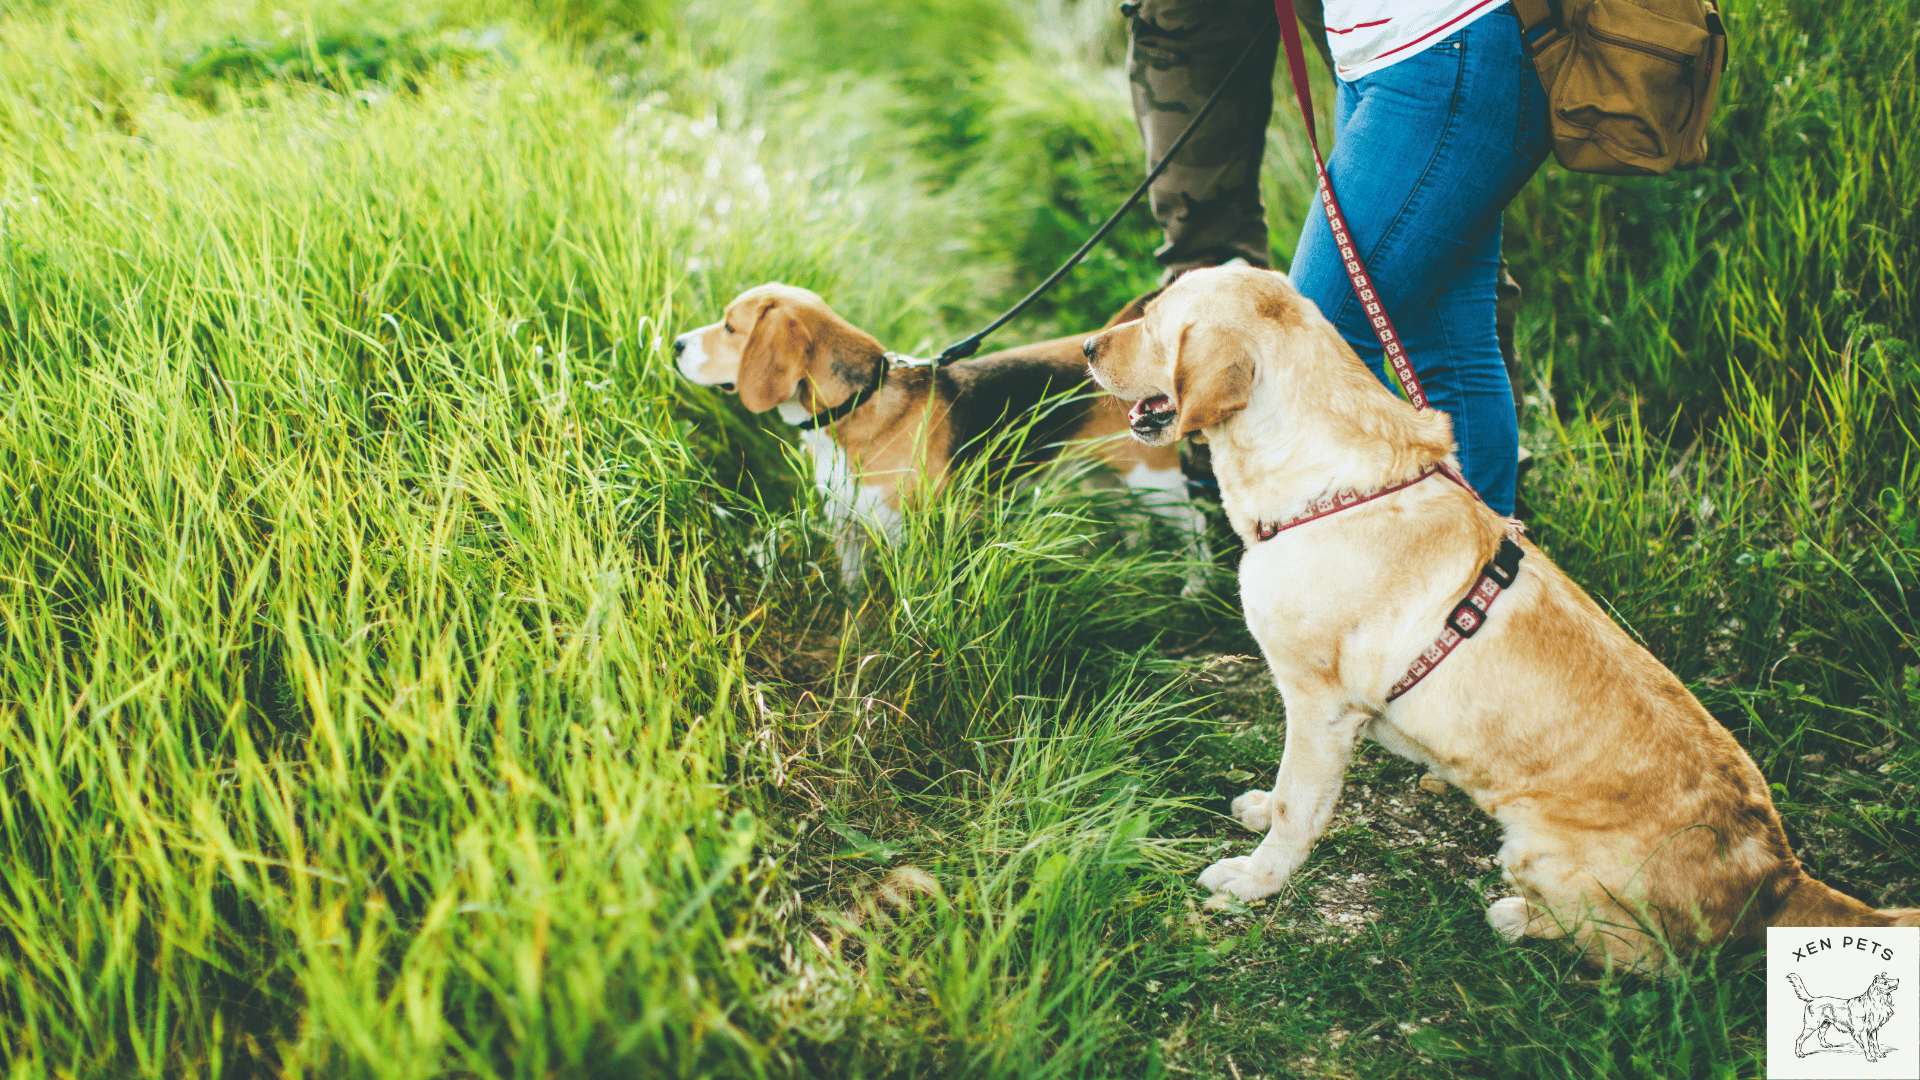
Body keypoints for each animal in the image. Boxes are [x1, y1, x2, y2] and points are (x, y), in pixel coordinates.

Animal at [675, 284, 1205, 588]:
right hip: (1105, 477)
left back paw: (1194, 587)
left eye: (730, 328)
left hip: (1153, 480)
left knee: (1196, 526)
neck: (857, 405)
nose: (677, 343)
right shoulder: (848, 528)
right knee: (1134, 521)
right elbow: (853, 595)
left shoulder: (909, 536)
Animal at [1090, 267, 1912, 968]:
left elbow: (1301, 806)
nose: (1091, 347)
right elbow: (1290, 795)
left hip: (1540, 854)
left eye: (1156, 321)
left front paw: (1255, 881)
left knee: (1644, 958)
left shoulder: (1319, 708)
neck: (1325, 483)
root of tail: (1778, 874)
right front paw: (1259, 811)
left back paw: (1521, 917)